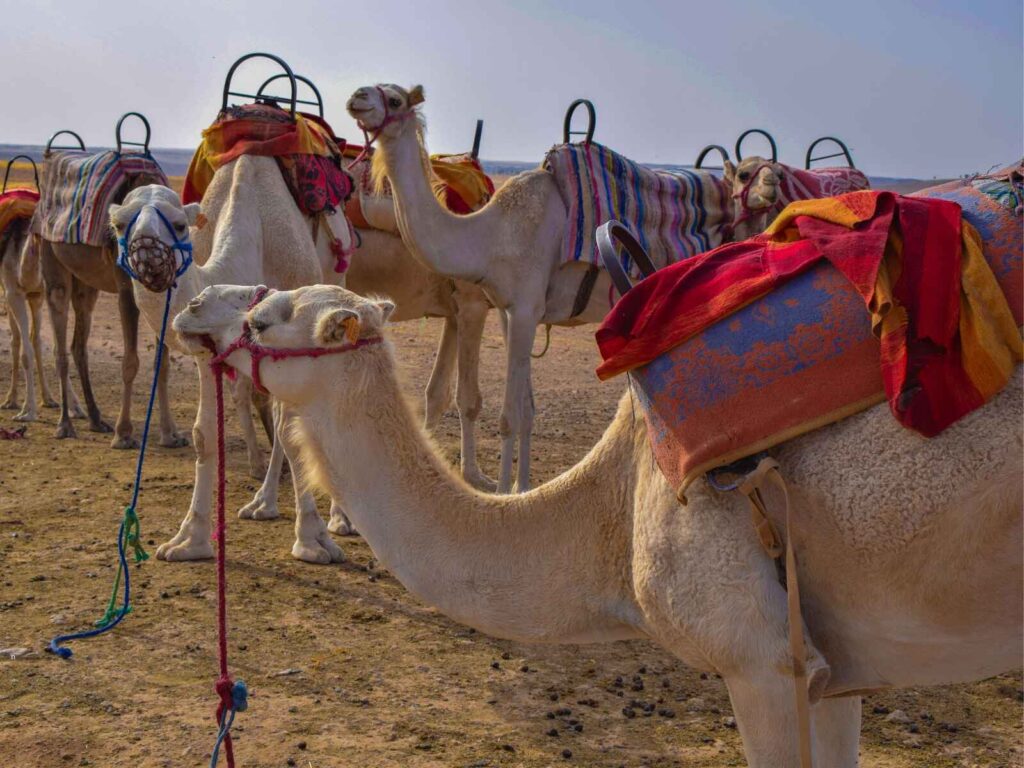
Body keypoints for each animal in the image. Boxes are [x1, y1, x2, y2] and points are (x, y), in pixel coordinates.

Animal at [345, 84, 725, 492]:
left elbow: (508, 416)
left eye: (395, 99)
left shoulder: (523, 309)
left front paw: (502, 493)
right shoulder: (509, 310)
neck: (491, 234)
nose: (357, 97)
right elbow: (526, 411)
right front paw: (521, 488)